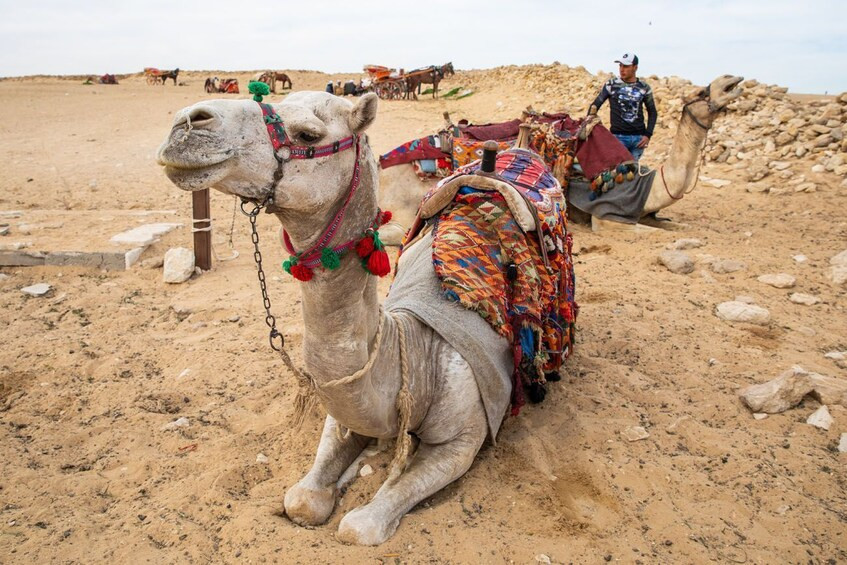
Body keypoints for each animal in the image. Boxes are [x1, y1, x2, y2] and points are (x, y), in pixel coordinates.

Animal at [156, 91, 520, 540]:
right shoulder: (343, 413)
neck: (413, 353)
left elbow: (360, 526)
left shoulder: (464, 438)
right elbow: (301, 500)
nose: (186, 123)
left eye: (308, 134)